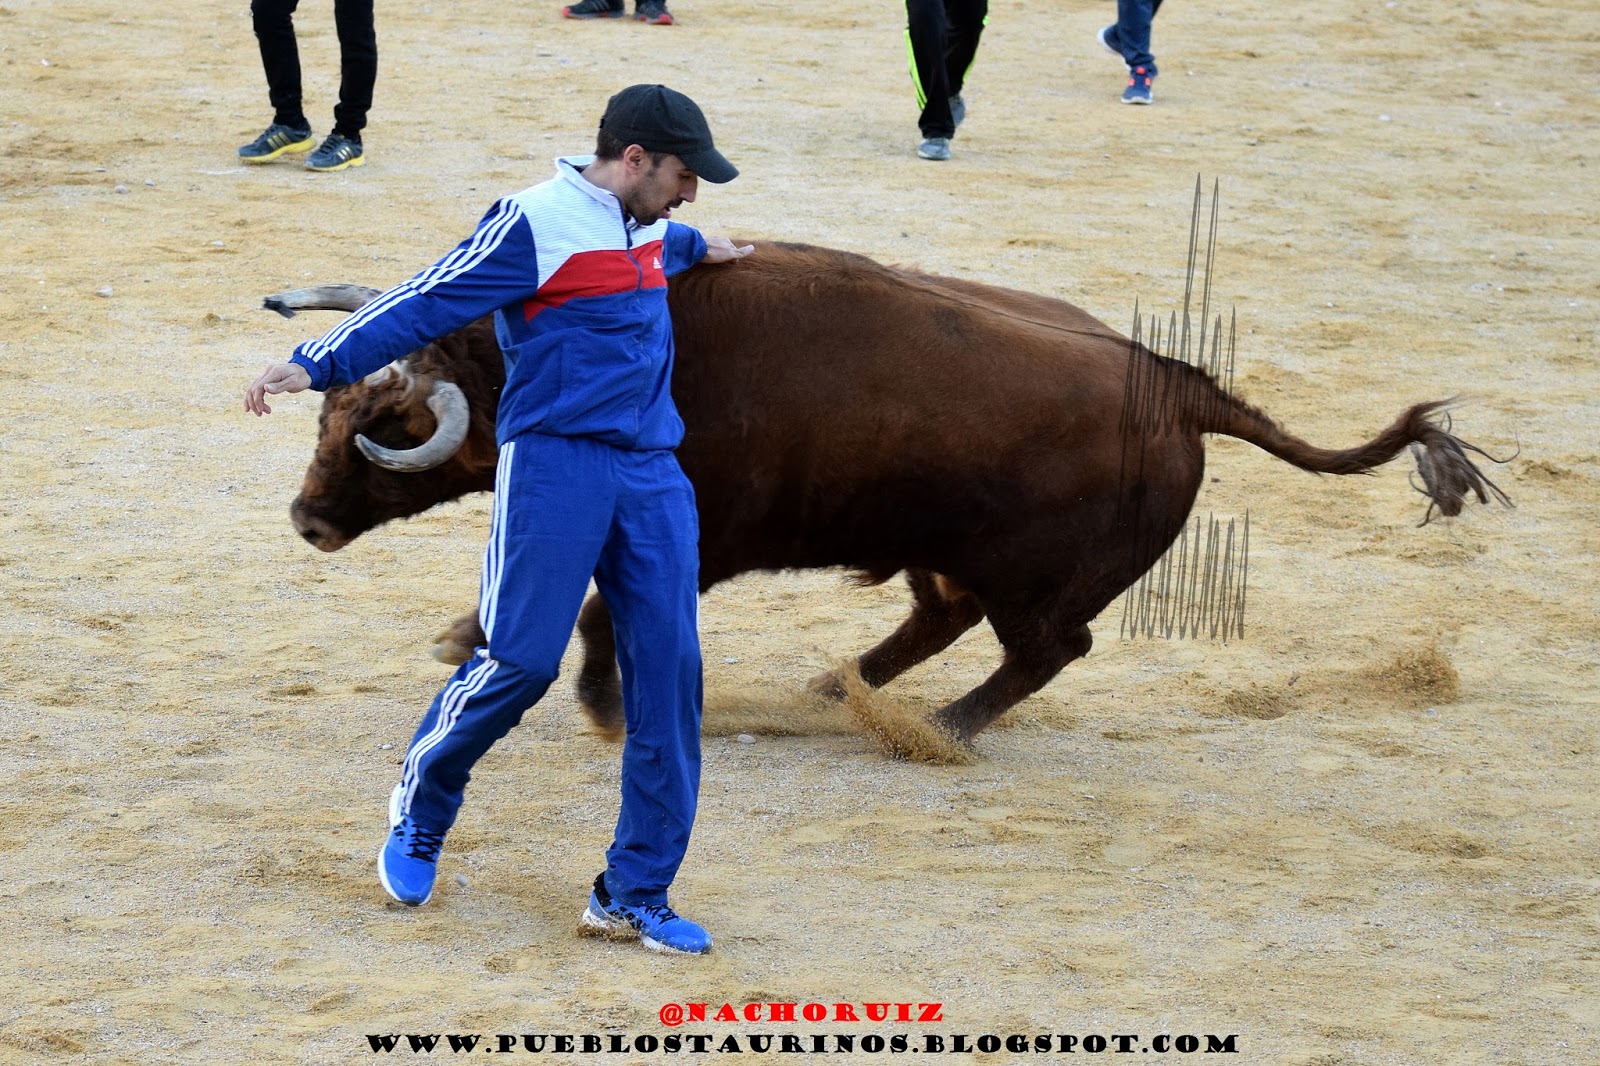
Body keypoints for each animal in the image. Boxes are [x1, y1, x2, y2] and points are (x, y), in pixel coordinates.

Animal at [269, 241, 1508, 746]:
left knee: (1042, 652)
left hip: (1032, 584)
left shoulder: (691, 541)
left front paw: (603, 706)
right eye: (333, 414)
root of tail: (1180, 389)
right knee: (938, 620)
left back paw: (936, 730)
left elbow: (598, 614)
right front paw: (466, 634)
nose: (307, 519)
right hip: (941, 550)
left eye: (389, 429)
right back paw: (836, 686)